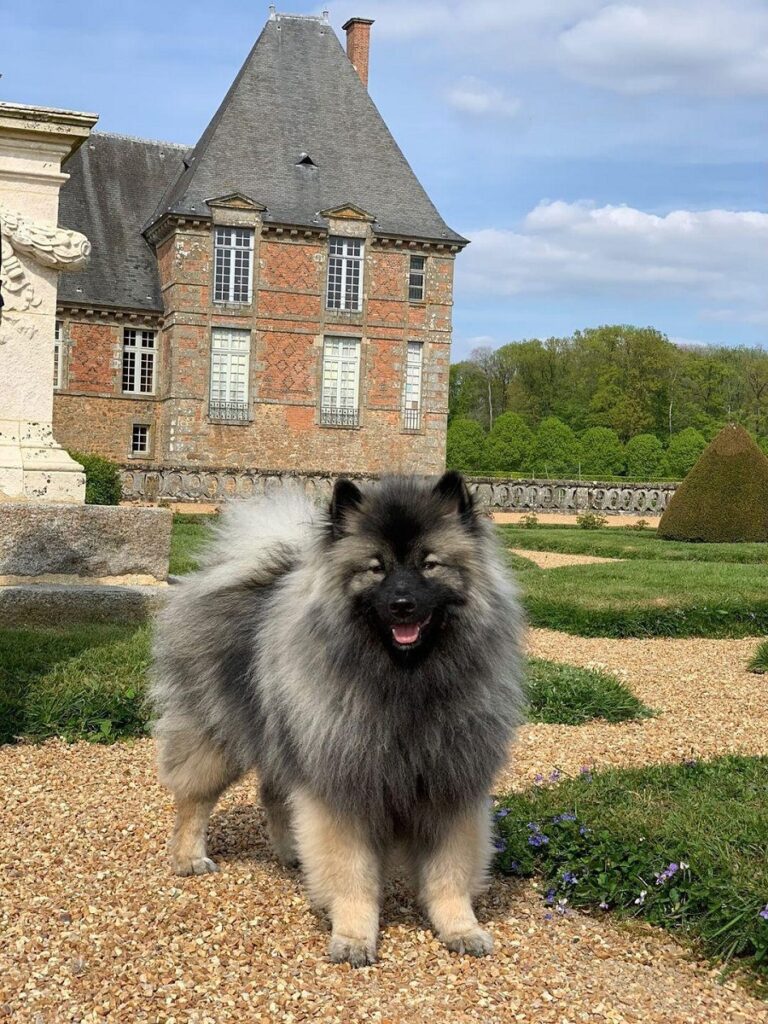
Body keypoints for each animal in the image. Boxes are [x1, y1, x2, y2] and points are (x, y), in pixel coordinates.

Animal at [150, 471, 524, 966]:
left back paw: (291, 852)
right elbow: (352, 876)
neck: (405, 680)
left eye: (429, 565)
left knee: (275, 793)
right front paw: (353, 937)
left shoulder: (450, 787)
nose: (402, 604)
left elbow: (450, 874)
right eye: (376, 567)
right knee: (194, 800)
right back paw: (189, 858)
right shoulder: (344, 787)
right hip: (217, 736)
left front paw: (461, 928)